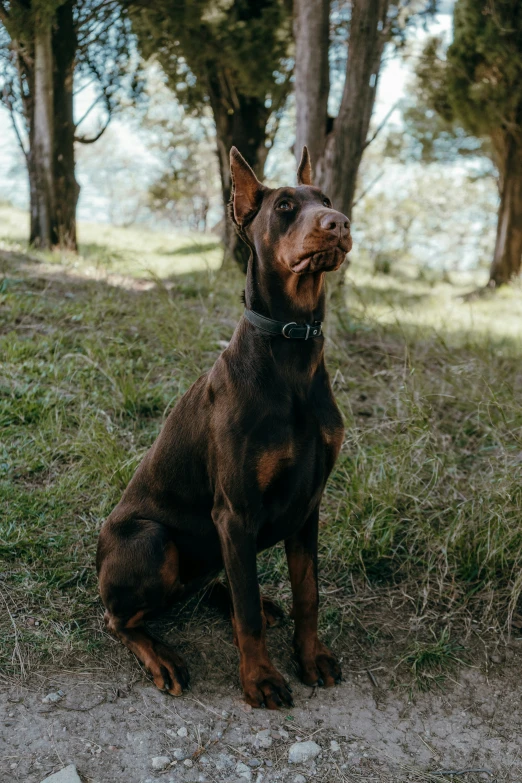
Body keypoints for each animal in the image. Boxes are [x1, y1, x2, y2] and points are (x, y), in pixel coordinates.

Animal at [96, 149, 352, 712]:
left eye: (325, 198)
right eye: (284, 206)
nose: (340, 223)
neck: (292, 353)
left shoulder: (309, 503)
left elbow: (308, 592)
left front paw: (310, 655)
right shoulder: (235, 510)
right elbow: (250, 617)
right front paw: (260, 678)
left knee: (223, 586)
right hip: (152, 541)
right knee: (119, 619)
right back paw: (162, 657)